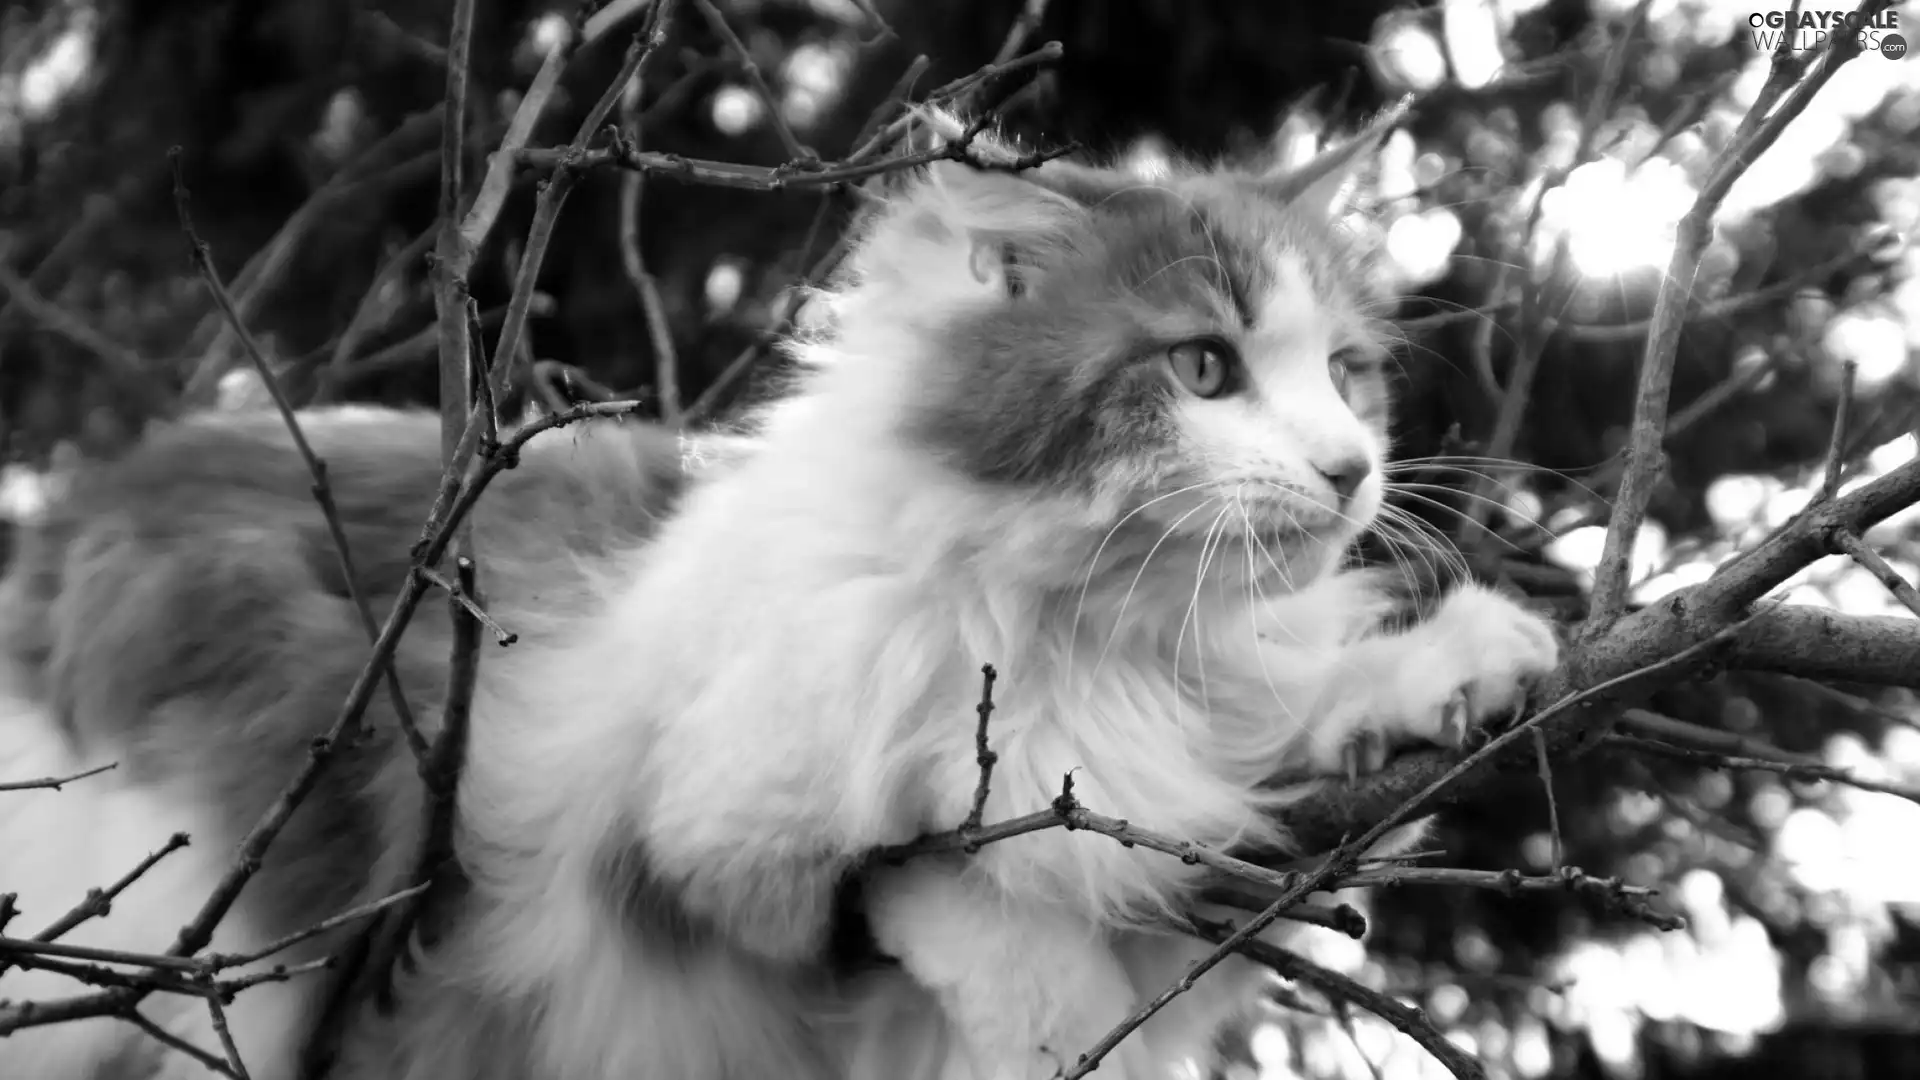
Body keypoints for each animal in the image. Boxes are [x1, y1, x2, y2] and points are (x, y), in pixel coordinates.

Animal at [0, 107, 1559, 1076]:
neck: (1097, 644)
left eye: (1345, 374)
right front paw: (1038, 1004)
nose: (1351, 469)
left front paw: (1439, 680)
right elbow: (935, 877)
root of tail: (88, 503)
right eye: (1204, 369)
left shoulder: (1186, 872)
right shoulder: (698, 839)